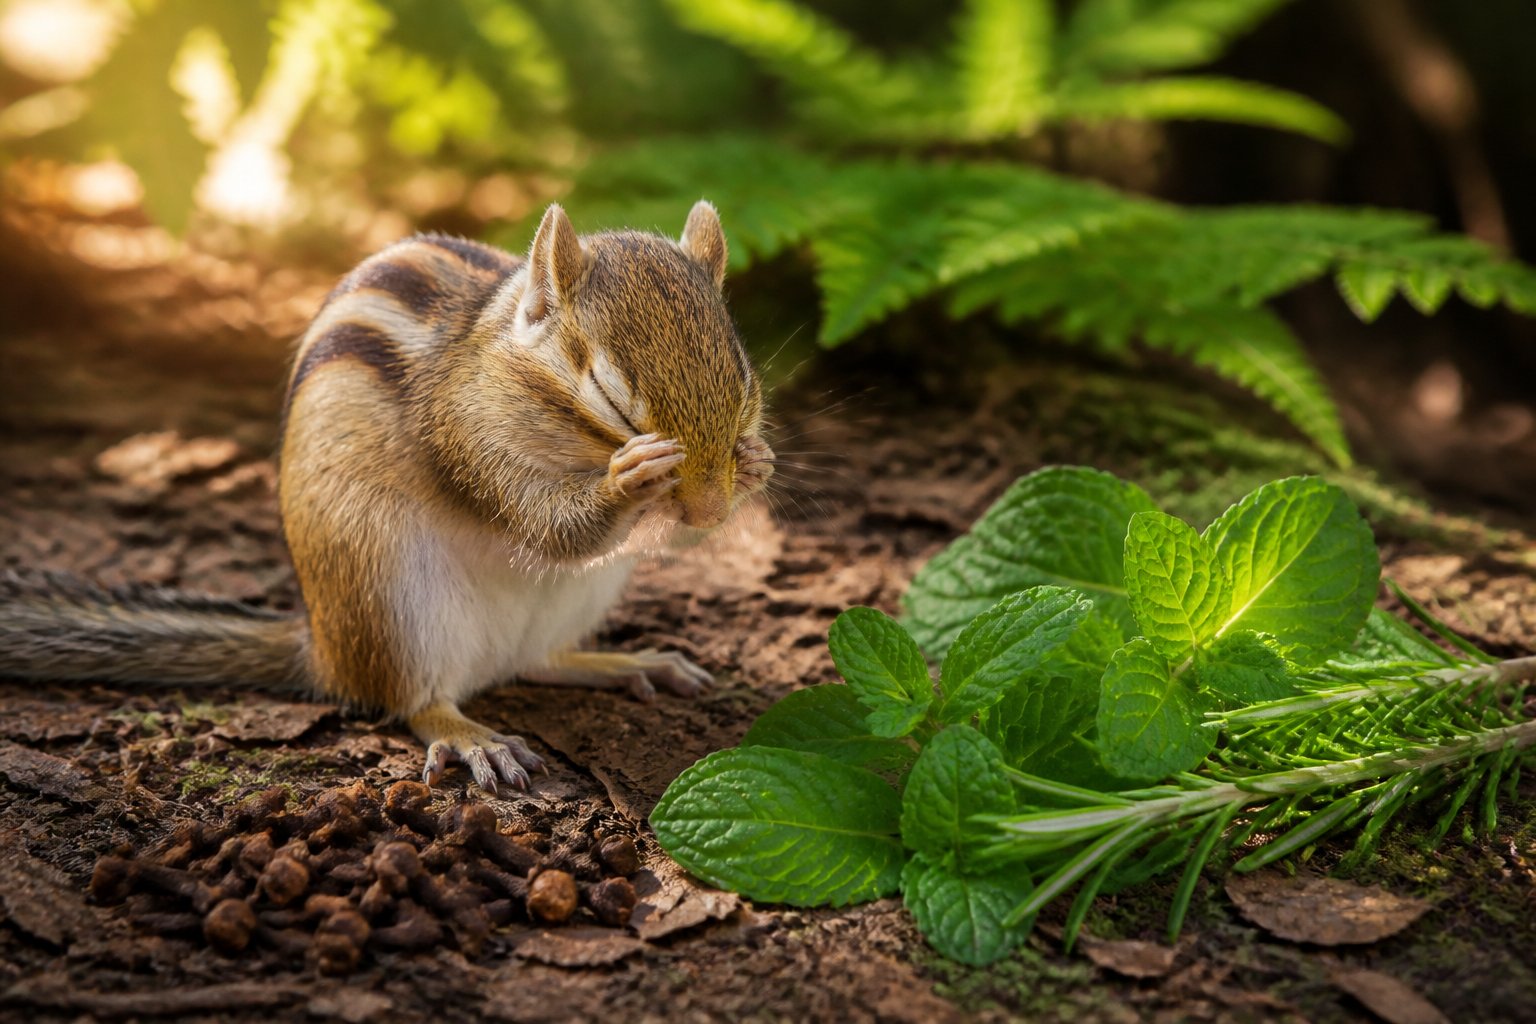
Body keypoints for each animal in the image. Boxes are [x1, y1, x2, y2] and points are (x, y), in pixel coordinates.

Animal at [0, 200, 775, 794]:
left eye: (745, 383)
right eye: (614, 401)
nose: (711, 505)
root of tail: (324, 648)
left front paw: (752, 465)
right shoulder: (466, 433)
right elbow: (547, 526)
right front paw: (627, 479)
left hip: (576, 598)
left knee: (538, 661)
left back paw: (626, 663)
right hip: (394, 597)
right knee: (418, 700)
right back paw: (472, 737)